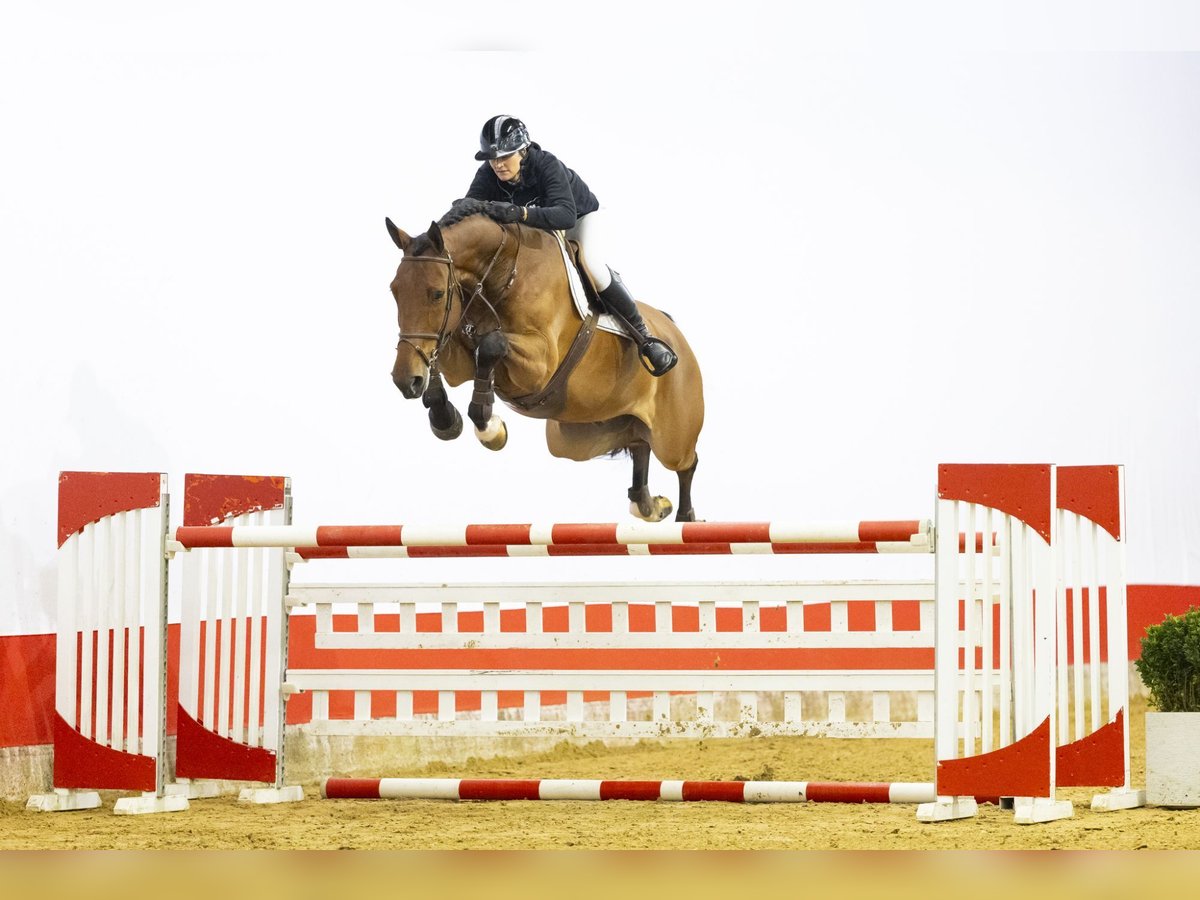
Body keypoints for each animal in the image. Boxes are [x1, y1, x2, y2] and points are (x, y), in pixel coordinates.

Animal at [386, 203, 704, 522]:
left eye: (437, 293)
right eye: (394, 290)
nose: (404, 380)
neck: (502, 272)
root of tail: (678, 336)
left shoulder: (540, 365)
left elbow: (490, 345)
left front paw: (489, 428)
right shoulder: (459, 356)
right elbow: (442, 355)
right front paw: (444, 417)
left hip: (673, 438)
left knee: (686, 464)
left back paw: (685, 516)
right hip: (578, 439)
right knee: (639, 445)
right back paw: (651, 505)